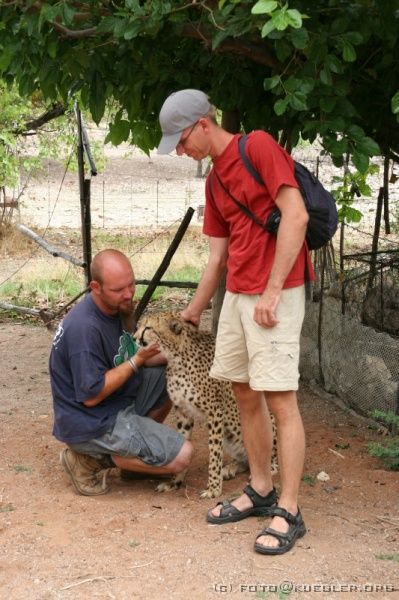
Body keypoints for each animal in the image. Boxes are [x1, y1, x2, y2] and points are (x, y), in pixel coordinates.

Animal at [135, 312, 278, 500]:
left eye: (148, 328)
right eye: (139, 326)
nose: (135, 338)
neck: (176, 356)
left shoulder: (215, 413)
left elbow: (214, 452)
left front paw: (214, 489)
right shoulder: (183, 412)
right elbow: (183, 443)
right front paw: (175, 482)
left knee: (269, 459)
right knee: (245, 461)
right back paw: (230, 469)